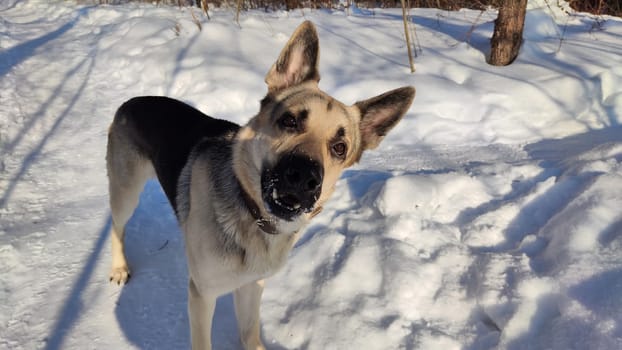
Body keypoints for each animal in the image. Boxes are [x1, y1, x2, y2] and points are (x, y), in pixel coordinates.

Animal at [107, 20, 416, 348]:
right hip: (126, 194)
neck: (253, 216)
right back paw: (119, 267)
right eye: (290, 121)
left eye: (340, 148)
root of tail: (132, 101)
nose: (304, 178)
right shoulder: (202, 295)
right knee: (117, 226)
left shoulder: (251, 285)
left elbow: (250, 330)